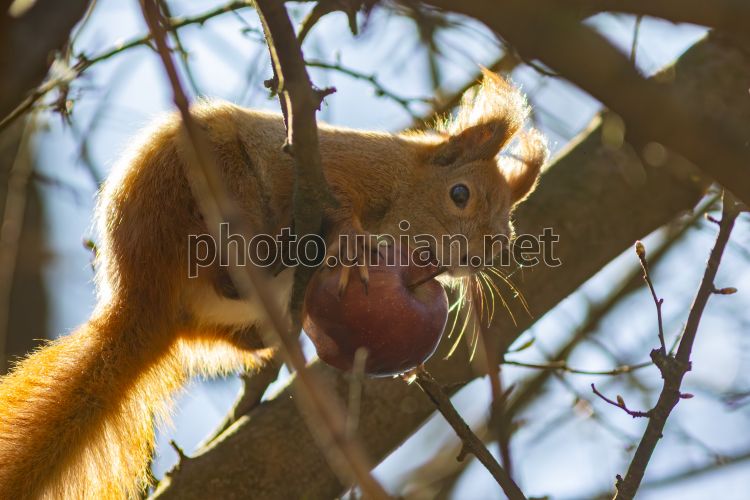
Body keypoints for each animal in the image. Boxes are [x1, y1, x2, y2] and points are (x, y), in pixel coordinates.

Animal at [0, 70, 547, 499]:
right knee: (231, 256)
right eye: (460, 194)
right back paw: (277, 254)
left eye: (502, 243)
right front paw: (348, 236)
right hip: (205, 180)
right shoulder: (326, 164)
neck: (399, 194)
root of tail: (142, 299)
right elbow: (326, 194)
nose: (476, 258)